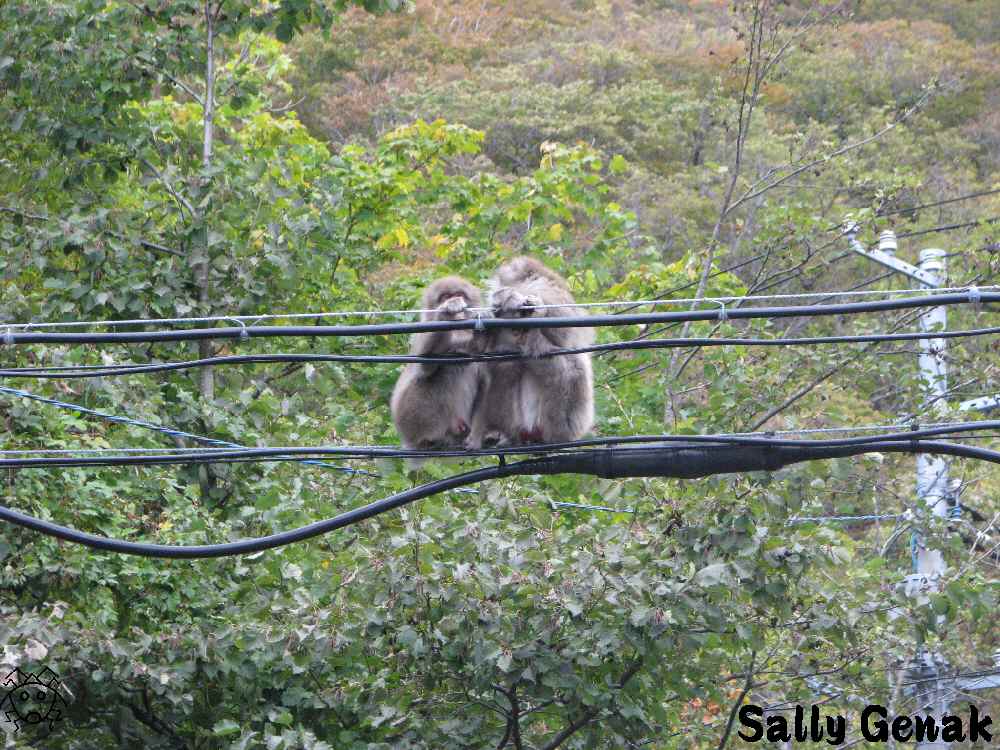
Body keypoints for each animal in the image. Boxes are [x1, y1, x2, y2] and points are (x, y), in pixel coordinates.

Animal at [391, 276, 487, 455]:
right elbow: (425, 366)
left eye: (459, 294)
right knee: (437, 375)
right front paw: (446, 311)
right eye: (445, 297)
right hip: (409, 420)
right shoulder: (420, 333)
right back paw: (432, 439)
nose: (453, 299)